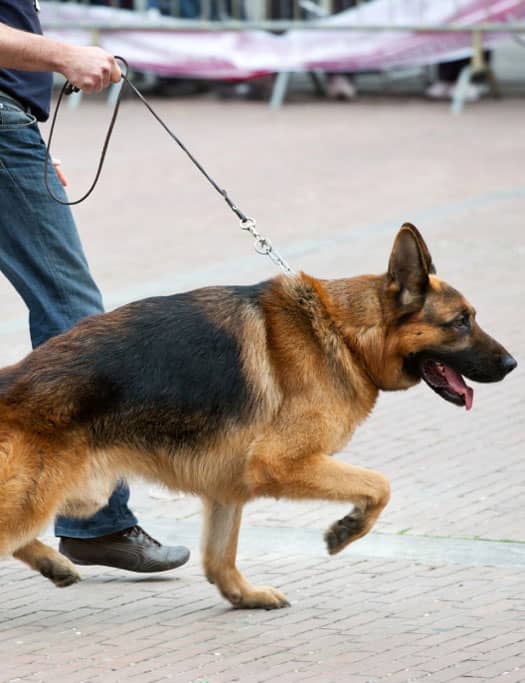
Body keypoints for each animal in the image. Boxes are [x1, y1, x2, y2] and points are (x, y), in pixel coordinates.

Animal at [0, 226, 516, 608]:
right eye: (461, 322)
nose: (512, 364)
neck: (342, 332)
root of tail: (13, 379)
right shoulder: (283, 463)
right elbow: (380, 485)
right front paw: (347, 530)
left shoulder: (227, 488)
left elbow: (219, 558)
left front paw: (243, 596)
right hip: (47, 496)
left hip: (83, 494)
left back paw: (54, 564)